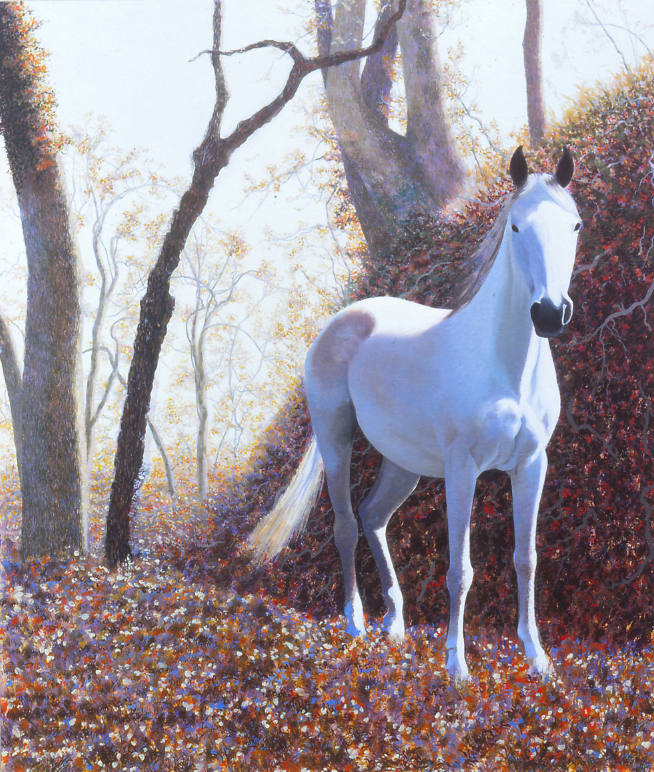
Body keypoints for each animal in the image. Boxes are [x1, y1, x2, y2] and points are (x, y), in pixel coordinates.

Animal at [249, 146, 581, 680]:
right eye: (515, 226)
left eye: (574, 224)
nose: (550, 314)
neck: (504, 365)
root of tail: (345, 318)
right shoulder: (463, 469)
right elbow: (460, 569)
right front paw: (457, 668)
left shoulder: (531, 466)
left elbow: (525, 558)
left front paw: (538, 660)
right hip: (336, 438)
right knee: (345, 525)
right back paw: (356, 625)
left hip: (402, 464)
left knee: (373, 517)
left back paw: (396, 626)